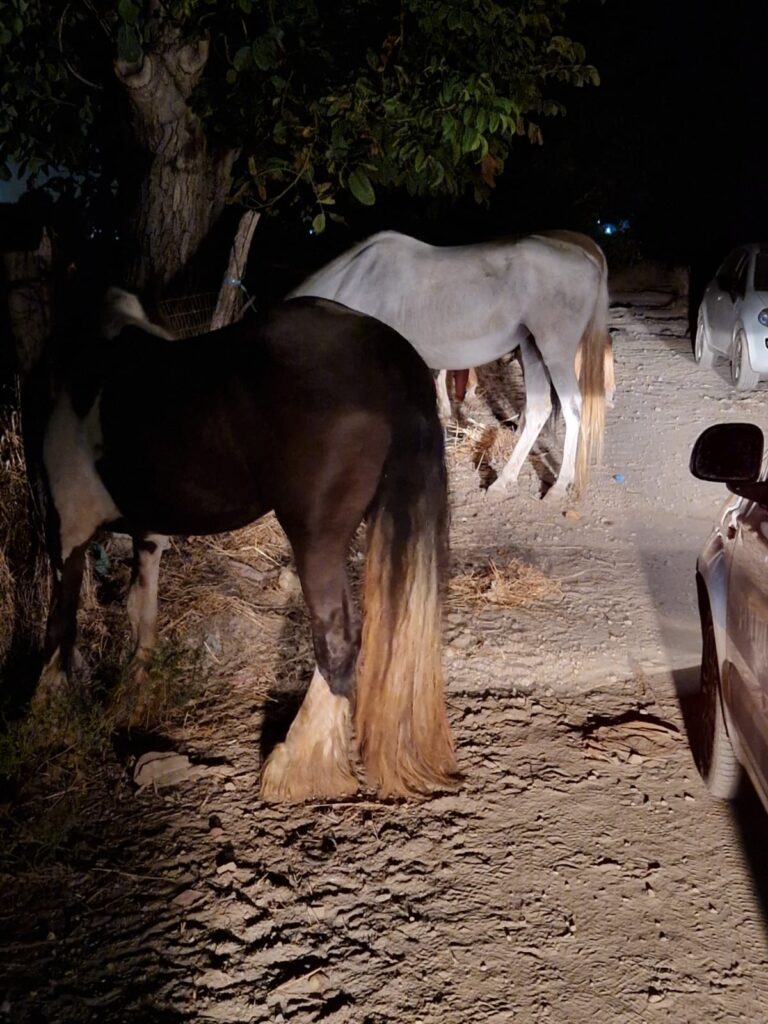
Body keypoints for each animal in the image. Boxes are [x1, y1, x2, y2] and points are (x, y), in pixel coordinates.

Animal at [25, 286, 456, 798]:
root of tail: (383, 350)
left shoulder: (69, 528)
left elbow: (61, 625)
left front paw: (46, 715)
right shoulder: (148, 531)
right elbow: (140, 609)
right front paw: (135, 692)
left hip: (315, 538)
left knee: (337, 637)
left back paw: (296, 763)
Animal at [290, 233, 618, 503]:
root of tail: (587, 255)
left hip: (555, 351)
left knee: (573, 408)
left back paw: (560, 486)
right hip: (532, 349)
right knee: (539, 410)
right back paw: (504, 482)